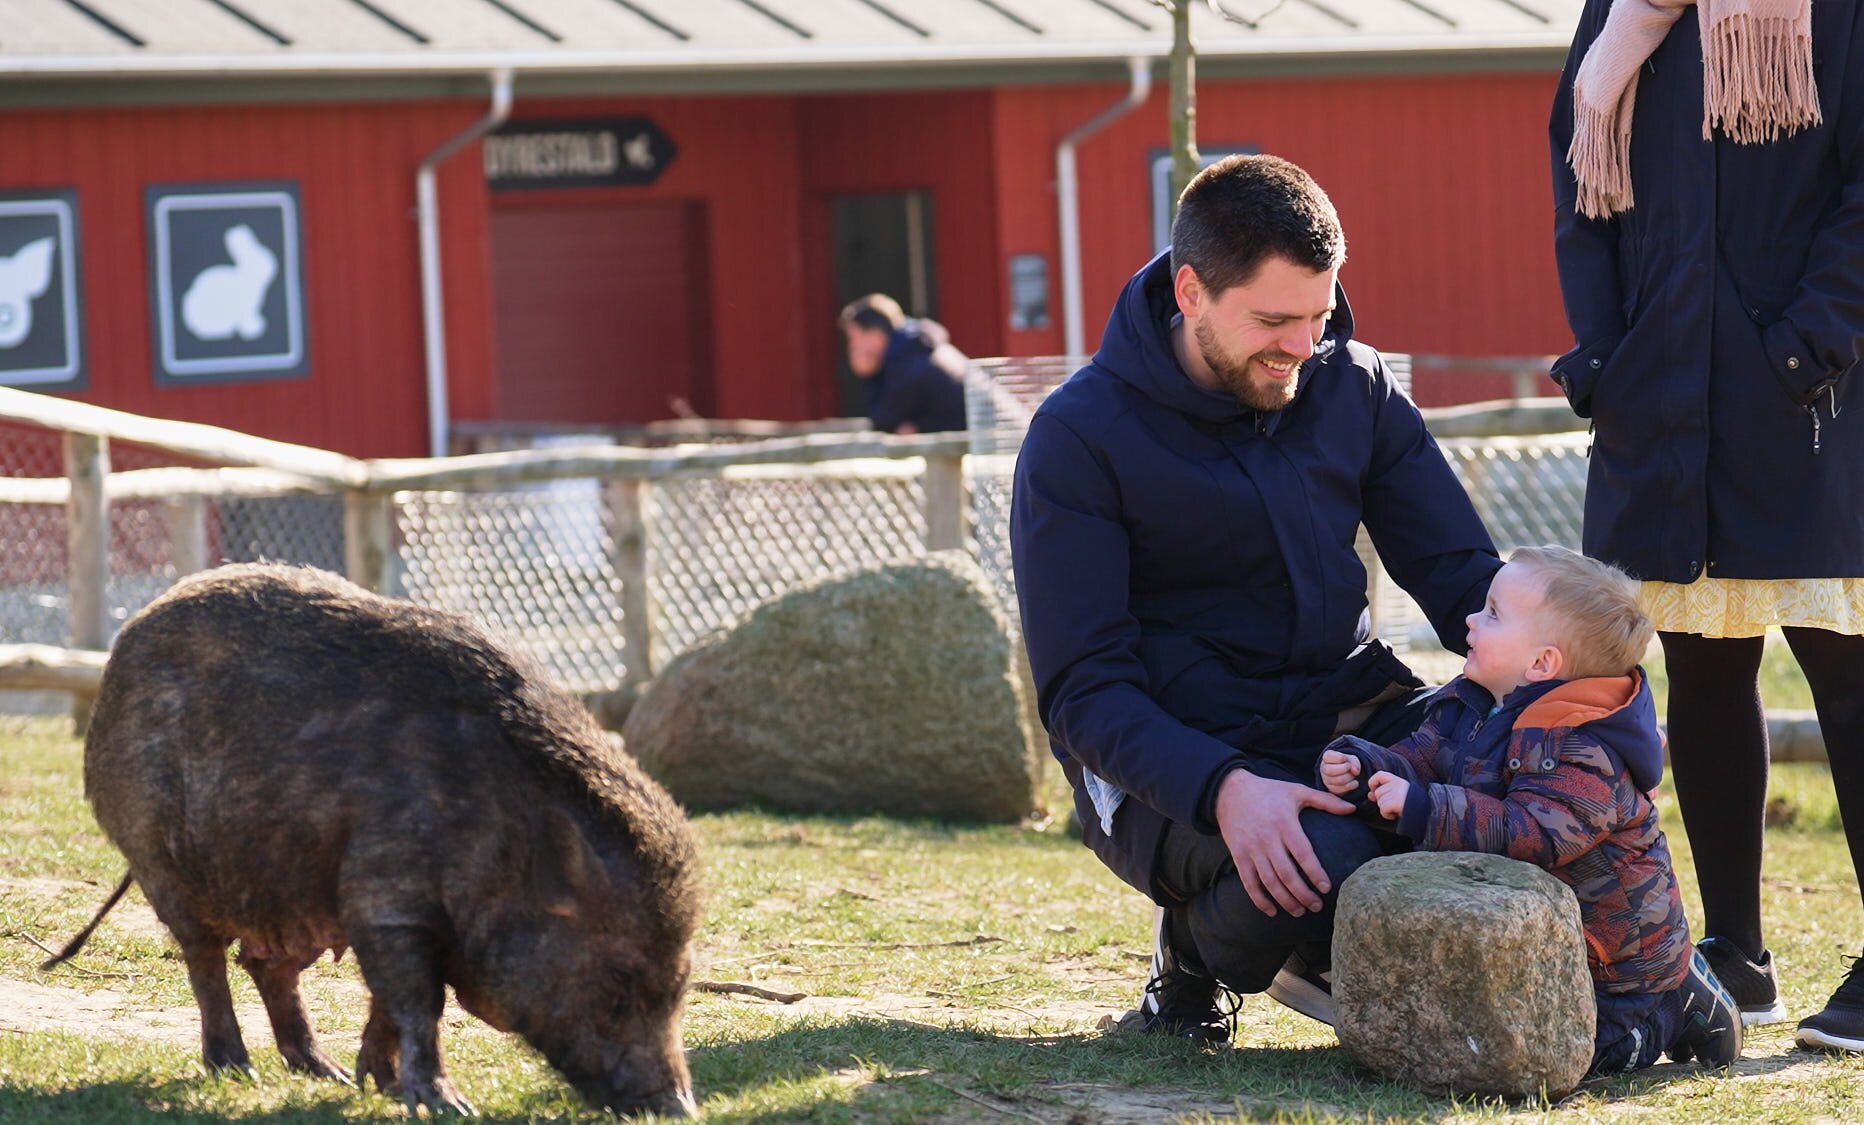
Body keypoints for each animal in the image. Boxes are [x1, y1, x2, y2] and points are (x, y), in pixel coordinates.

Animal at [54, 562, 704, 1117]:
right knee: (206, 958)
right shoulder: (386, 897)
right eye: (618, 978)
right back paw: (237, 1071)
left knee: (266, 965)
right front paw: (448, 1106)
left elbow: (391, 1005)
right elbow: (418, 1001)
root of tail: (122, 646)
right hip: (159, 855)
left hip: (298, 891)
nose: (679, 1107)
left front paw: (379, 1085)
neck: (500, 844)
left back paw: (327, 1073)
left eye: (681, 983)